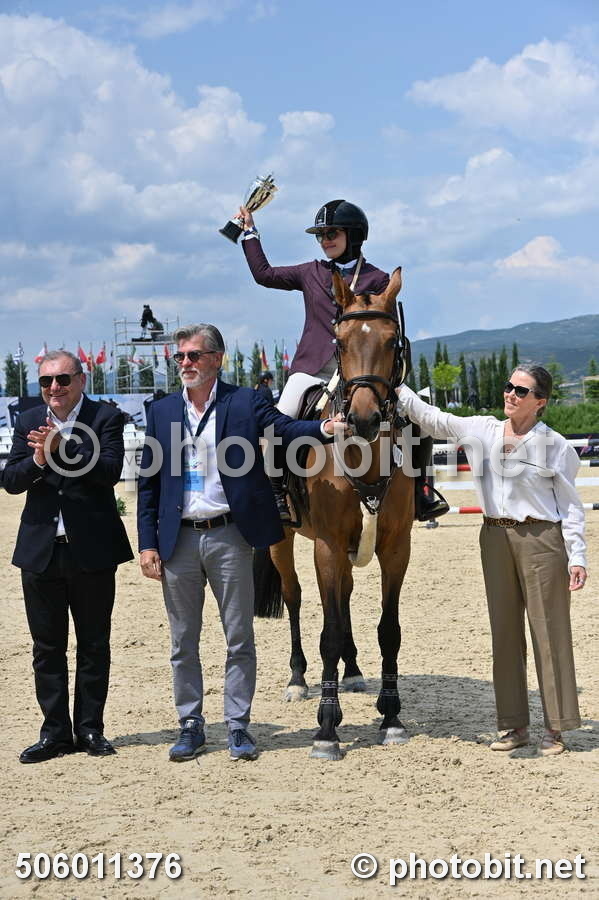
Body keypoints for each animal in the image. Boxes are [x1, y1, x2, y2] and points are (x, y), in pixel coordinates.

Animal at [255, 267, 414, 760]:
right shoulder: (325, 546)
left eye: (392, 341)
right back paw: (298, 680)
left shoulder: (396, 549)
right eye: (339, 341)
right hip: (283, 541)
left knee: (342, 598)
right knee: (295, 598)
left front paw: (391, 717)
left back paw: (355, 670)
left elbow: (389, 629)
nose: (362, 419)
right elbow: (325, 630)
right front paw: (326, 728)